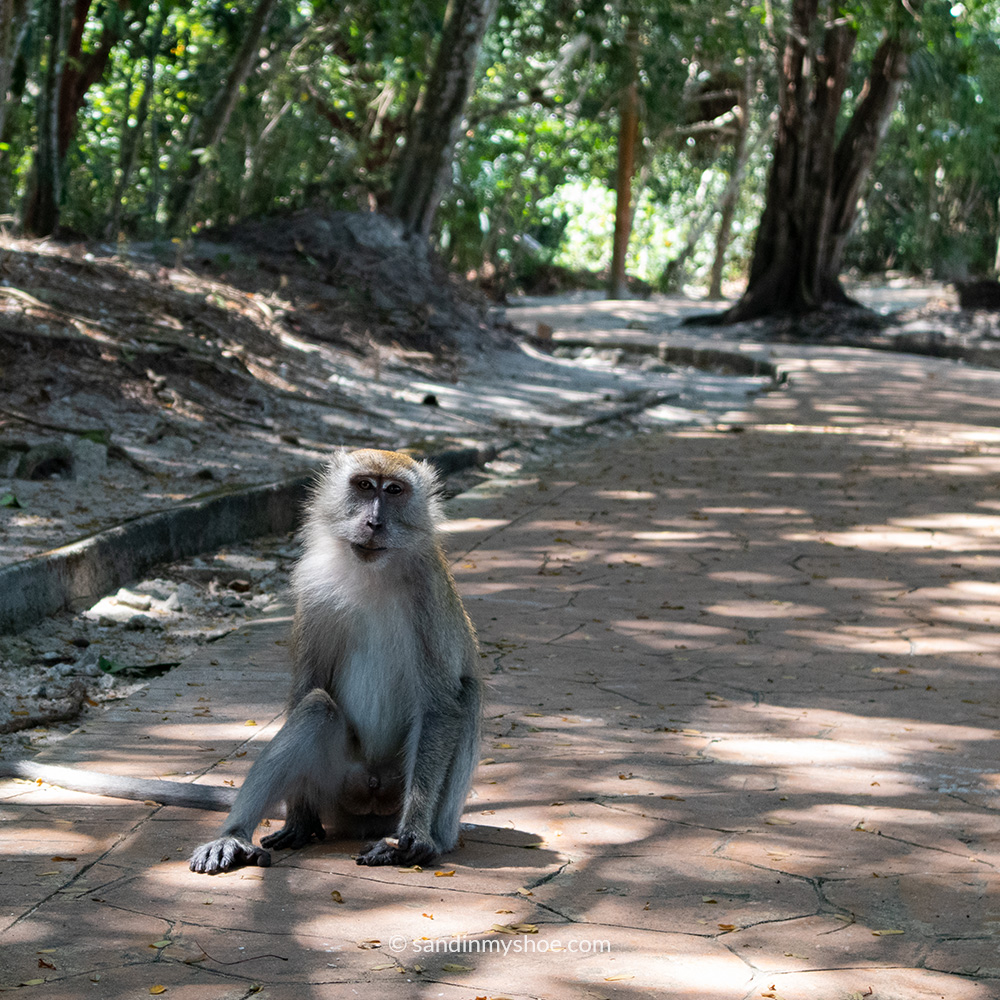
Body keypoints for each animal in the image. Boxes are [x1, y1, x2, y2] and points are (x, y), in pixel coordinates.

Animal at [0, 449, 483, 875]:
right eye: (364, 486)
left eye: (395, 491)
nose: (373, 521)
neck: (372, 573)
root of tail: (367, 807)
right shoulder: (312, 585)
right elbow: (308, 686)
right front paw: (294, 820)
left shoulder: (429, 593)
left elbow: (440, 706)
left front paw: (414, 832)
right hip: (331, 786)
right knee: (316, 709)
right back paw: (239, 835)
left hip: (402, 797)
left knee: (467, 695)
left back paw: (424, 842)